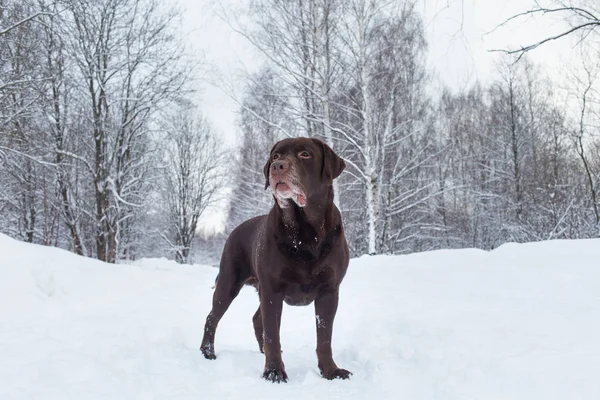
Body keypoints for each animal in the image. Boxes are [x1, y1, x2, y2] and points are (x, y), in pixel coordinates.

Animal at [200, 138, 352, 384]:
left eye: (305, 154)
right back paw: (208, 352)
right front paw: (273, 371)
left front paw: (331, 371)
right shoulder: (272, 289)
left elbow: (324, 337)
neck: (306, 232)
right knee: (212, 317)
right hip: (228, 282)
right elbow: (273, 333)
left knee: (255, 319)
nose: (277, 166)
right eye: (275, 156)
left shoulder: (329, 291)